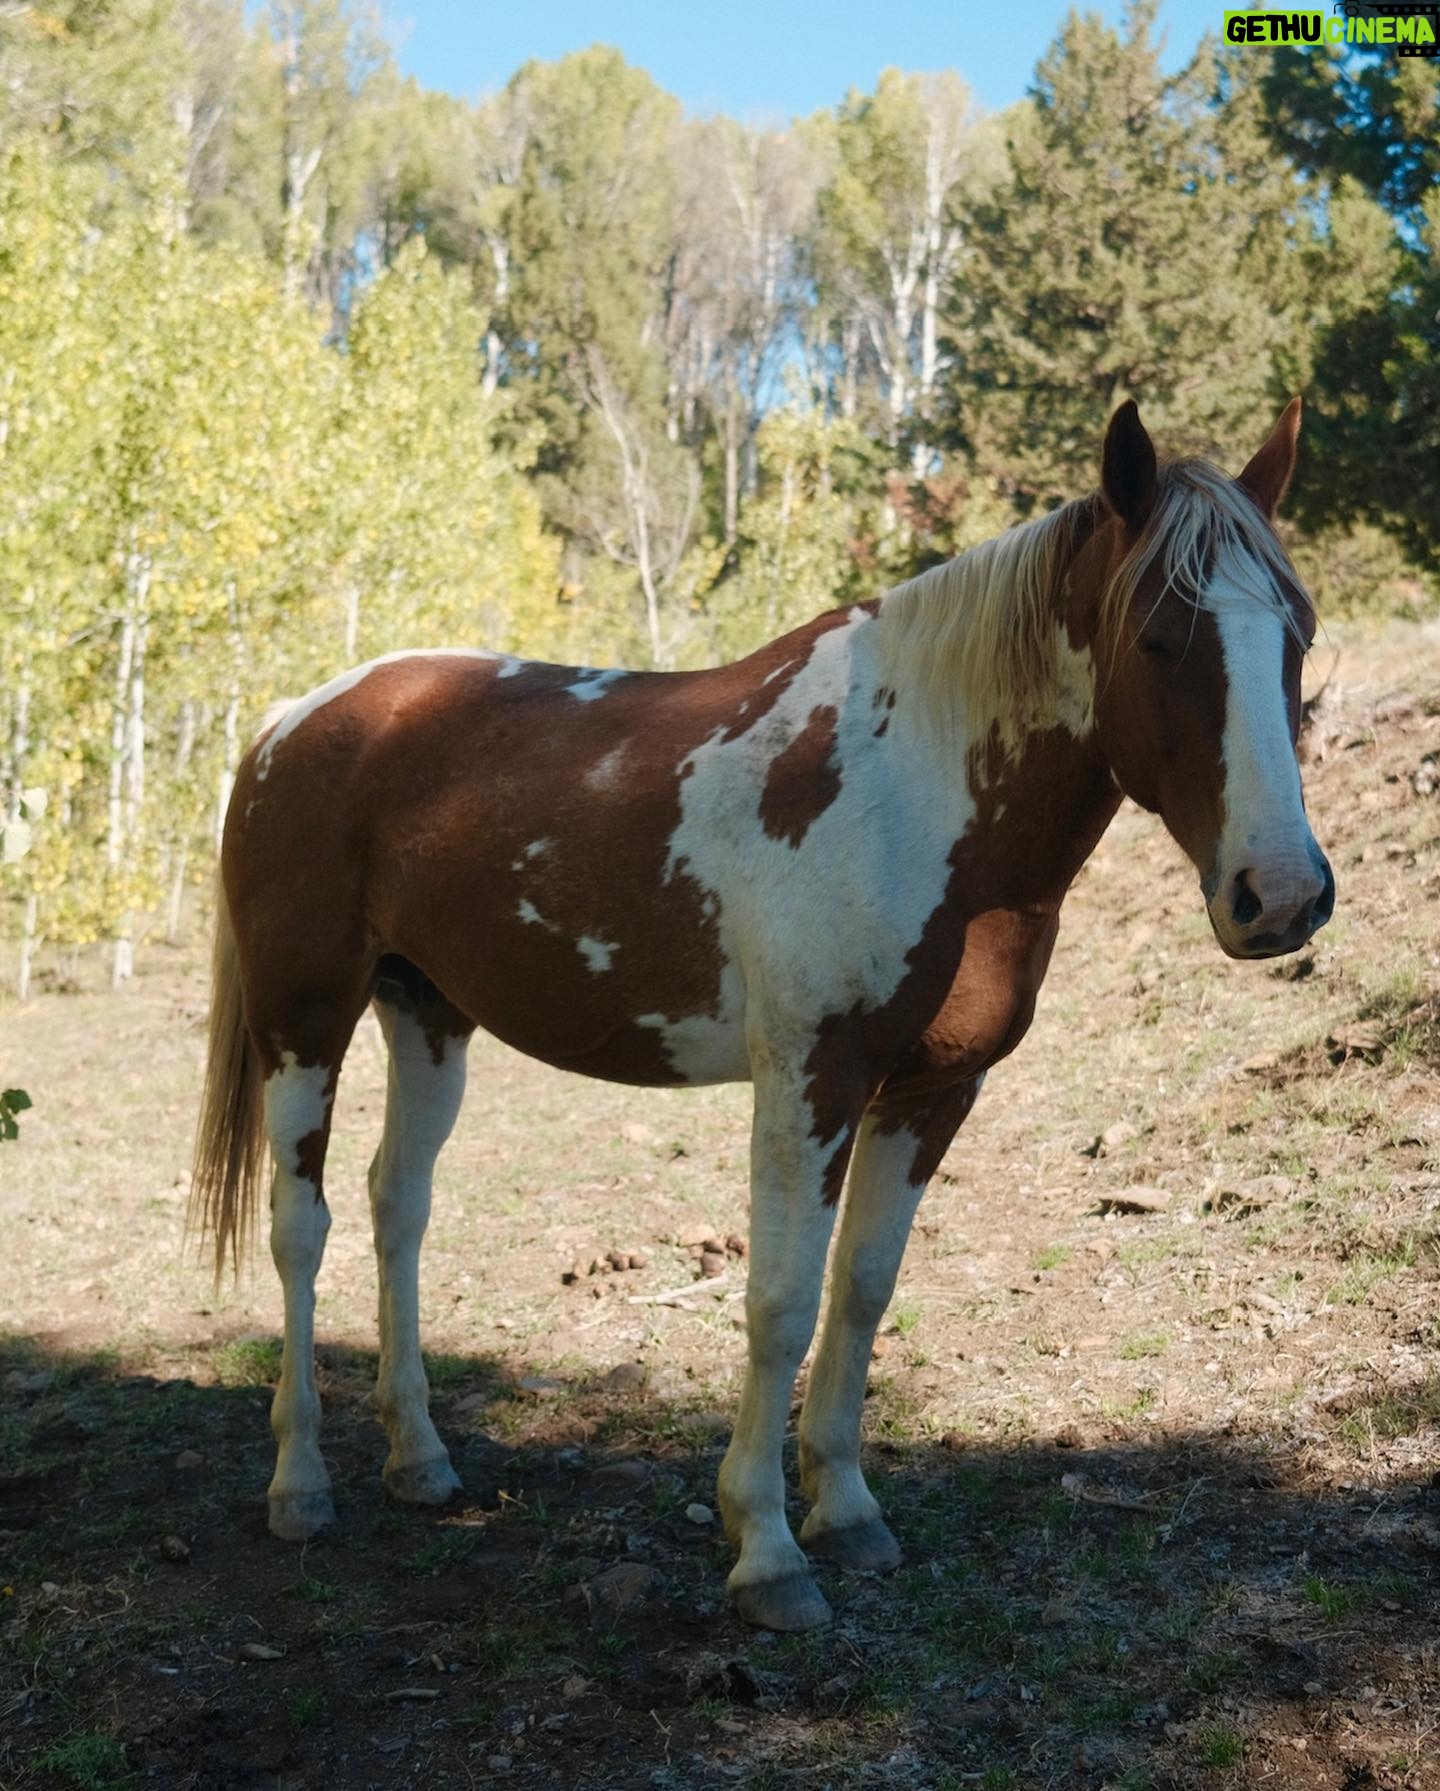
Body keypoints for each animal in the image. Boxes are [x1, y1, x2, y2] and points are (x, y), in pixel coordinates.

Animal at [192, 399, 1333, 1632]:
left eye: (1299, 636)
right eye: (1162, 637)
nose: (1282, 895)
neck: (914, 789)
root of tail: (293, 722)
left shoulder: (931, 1091)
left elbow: (862, 1290)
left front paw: (848, 1509)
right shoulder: (808, 1079)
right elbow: (779, 1301)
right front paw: (769, 1551)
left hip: (427, 1015)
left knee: (398, 1207)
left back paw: (421, 1461)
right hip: (306, 1015)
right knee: (300, 1228)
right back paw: (300, 1484)